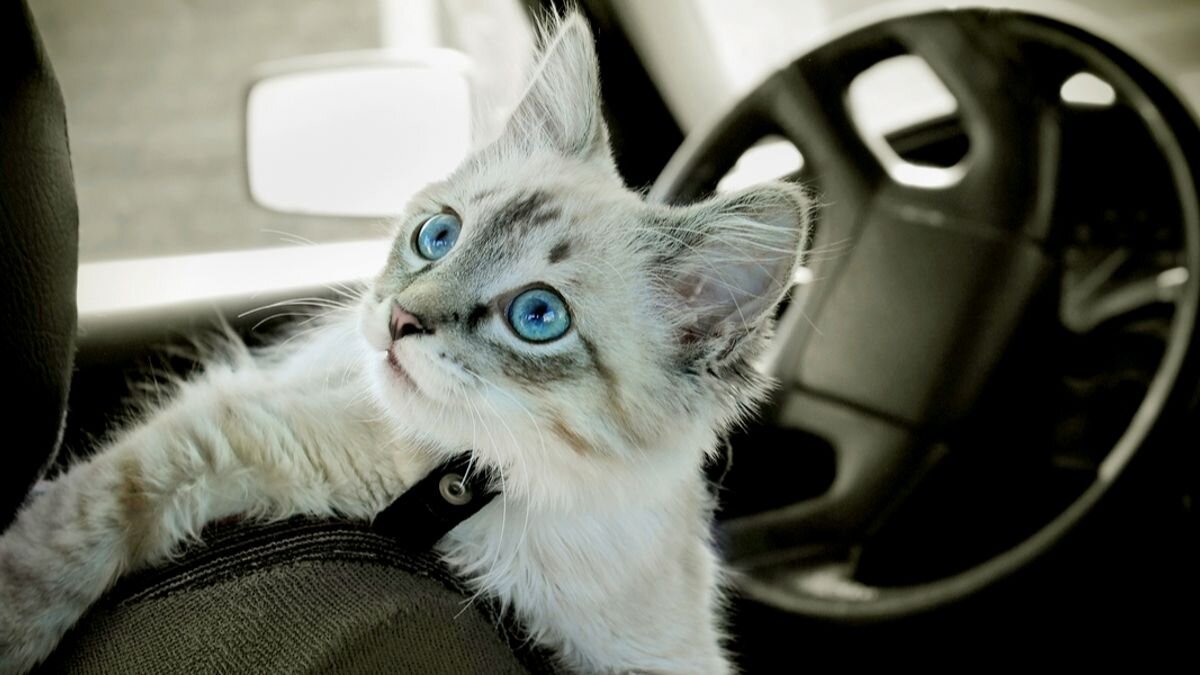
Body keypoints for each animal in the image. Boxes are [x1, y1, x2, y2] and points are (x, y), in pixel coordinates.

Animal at [0, 12, 810, 675]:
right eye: (437, 236)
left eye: (538, 316)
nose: (399, 319)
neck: (482, 495)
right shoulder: (238, 433)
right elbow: (64, 537)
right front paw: (14, 628)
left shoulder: (655, 653)